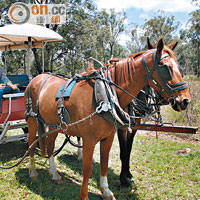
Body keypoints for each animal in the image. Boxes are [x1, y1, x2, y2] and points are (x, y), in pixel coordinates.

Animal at [24, 38, 191, 199]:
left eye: (180, 68)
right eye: (166, 67)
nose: (185, 100)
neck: (103, 95)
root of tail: (36, 78)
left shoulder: (108, 137)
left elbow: (105, 162)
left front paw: (106, 190)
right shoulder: (89, 139)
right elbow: (87, 168)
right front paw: (85, 195)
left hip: (54, 125)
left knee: (50, 146)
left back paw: (54, 174)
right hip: (32, 121)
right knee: (31, 144)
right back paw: (32, 171)